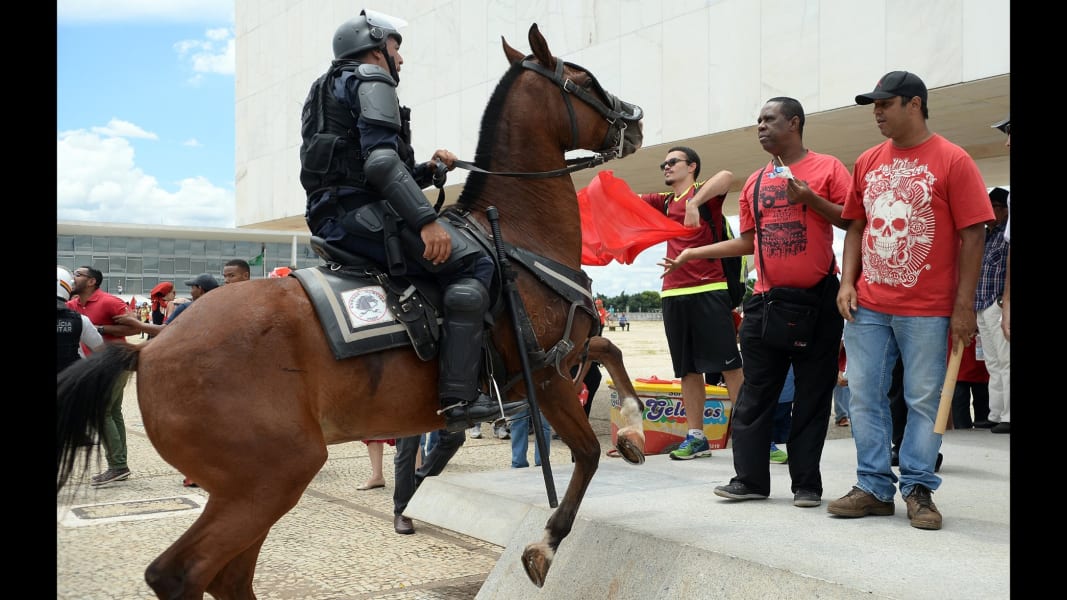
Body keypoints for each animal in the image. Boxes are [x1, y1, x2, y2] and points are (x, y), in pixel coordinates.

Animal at [58, 22, 644, 593]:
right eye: (587, 81)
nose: (635, 120)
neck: (520, 235)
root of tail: (150, 350)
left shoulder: (560, 361)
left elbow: (609, 347)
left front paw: (636, 429)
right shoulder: (545, 376)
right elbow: (588, 454)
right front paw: (546, 542)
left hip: (256, 487)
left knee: (228, 576)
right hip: (272, 478)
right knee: (181, 573)